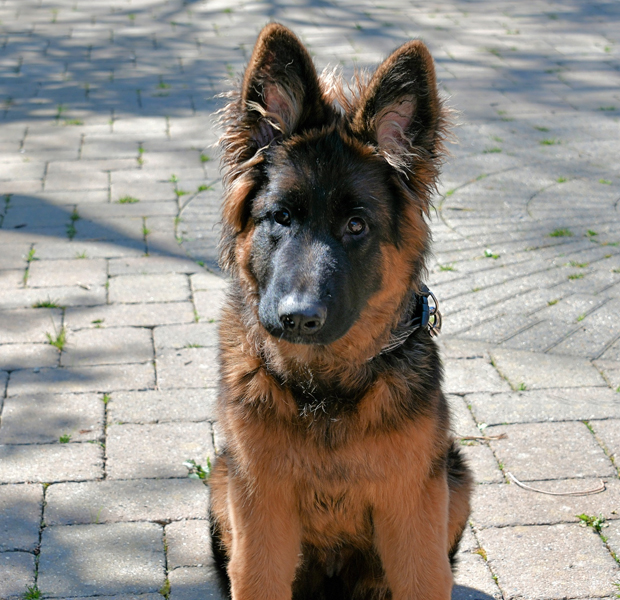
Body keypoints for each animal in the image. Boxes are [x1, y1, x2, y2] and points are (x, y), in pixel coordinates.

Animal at [211, 23, 472, 600]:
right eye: (281, 217)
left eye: (356, 226)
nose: (298, 317)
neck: (325, 390)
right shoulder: (259, 508)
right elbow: (258, 576)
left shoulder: (412, 508)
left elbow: (423, 575)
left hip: (457, 478)